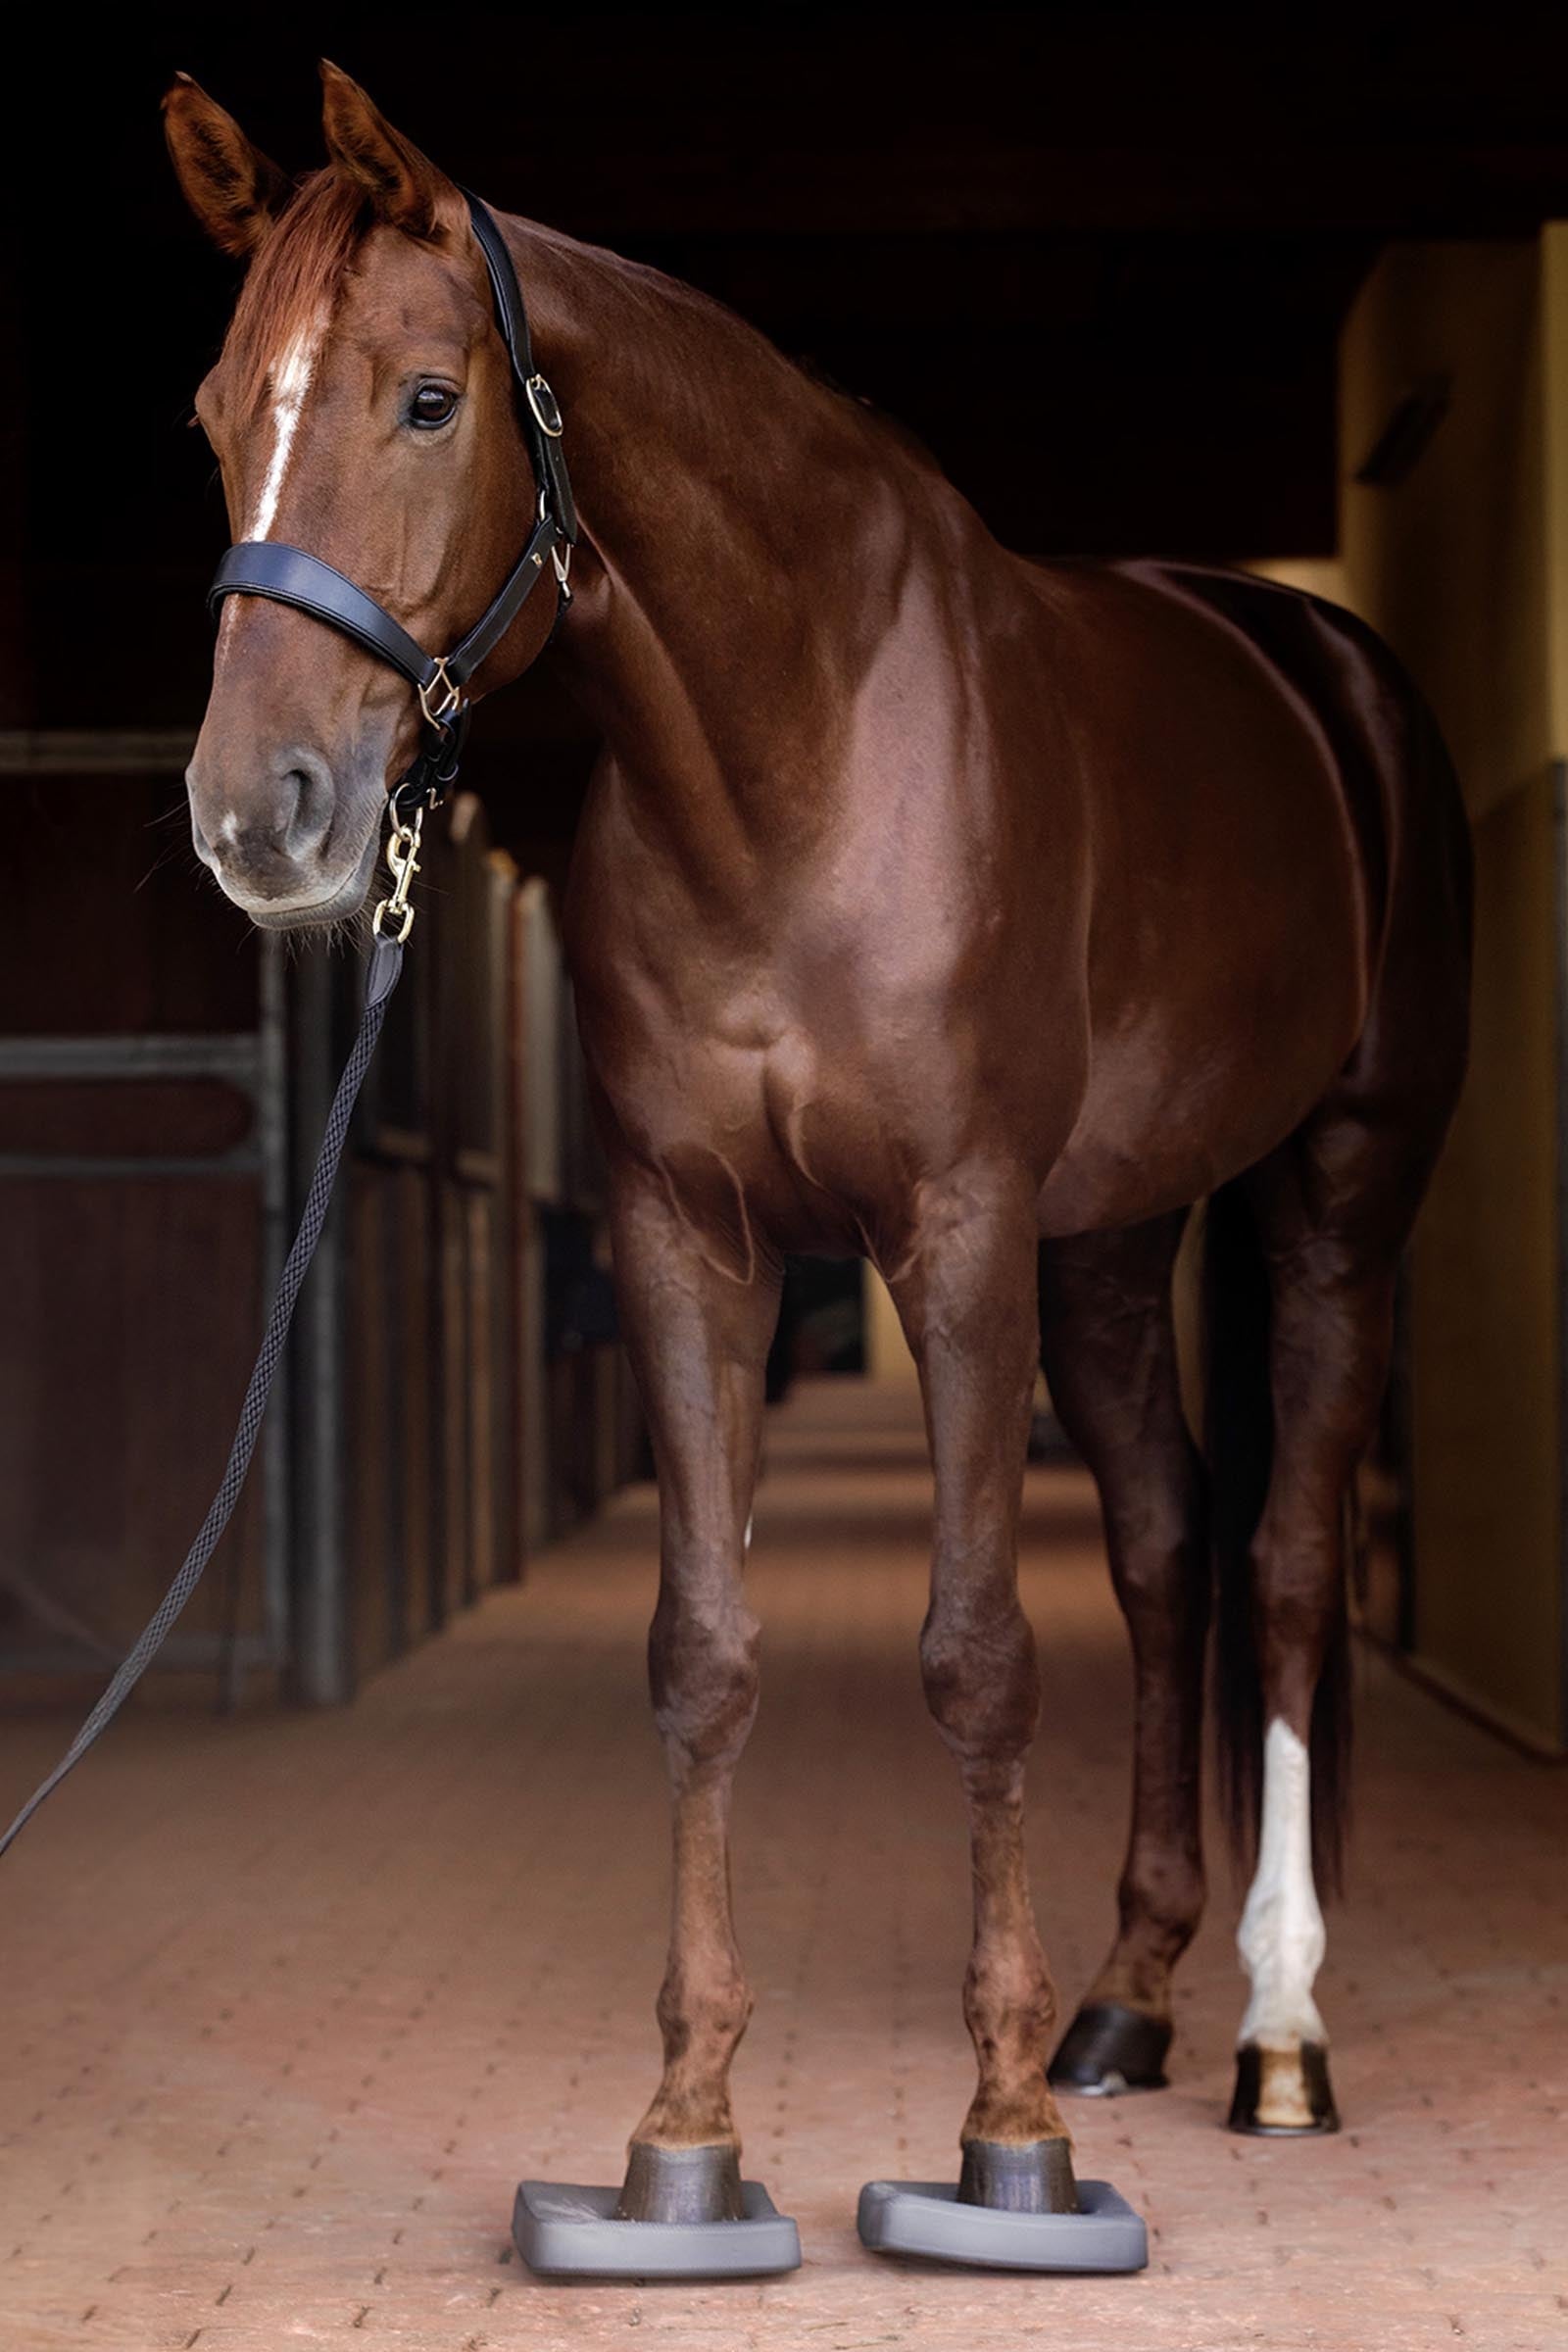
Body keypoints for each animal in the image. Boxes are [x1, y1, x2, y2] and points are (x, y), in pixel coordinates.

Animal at [164, 64, 1471, 2230]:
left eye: (426, 399)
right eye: (210, 413)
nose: (256, 817)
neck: (806, 744)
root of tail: (1328, 668)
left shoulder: (954, 1229)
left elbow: (978, 1654)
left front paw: (1004, 2129)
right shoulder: (689, 1232)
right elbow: (702, 1654)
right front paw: (686, 2128)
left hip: (1339, 1192)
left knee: (1284, 1563)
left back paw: (1277, 2039)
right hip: (1108, 1244)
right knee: (1164, 1542)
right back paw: (1125, 2002)